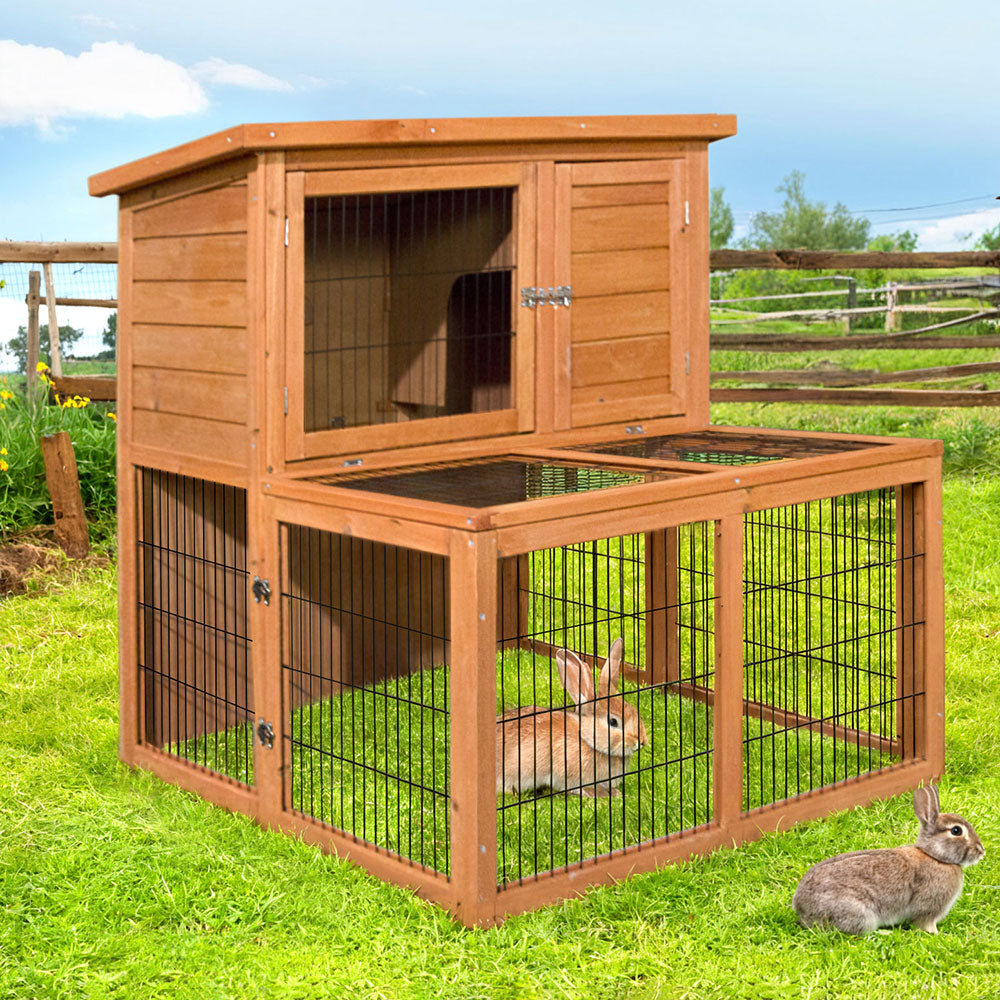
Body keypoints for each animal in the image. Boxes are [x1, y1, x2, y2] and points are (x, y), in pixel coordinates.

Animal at [792, 784, 985, 935]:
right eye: (956, 831)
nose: (981, 851)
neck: (935, 857)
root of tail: (800, 906)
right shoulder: (928, 908)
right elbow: (925, 923)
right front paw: (937, 934)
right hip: (858, 911)